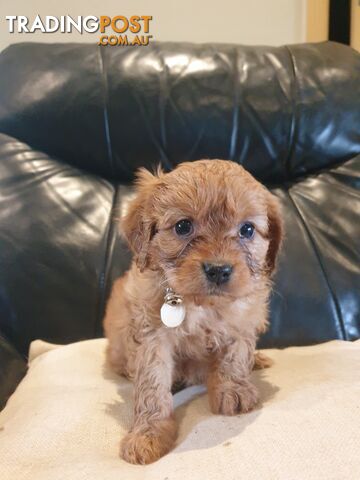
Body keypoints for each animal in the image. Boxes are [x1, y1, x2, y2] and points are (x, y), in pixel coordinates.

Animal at [104, 159, 284, 464]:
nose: (218, 269)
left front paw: (233, 389)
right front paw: (149, 433)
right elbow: (152, 383)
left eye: (247, 230)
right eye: (183, 226)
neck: (201, 305)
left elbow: (235, 355)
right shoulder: (151, 336)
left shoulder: (243, 318)